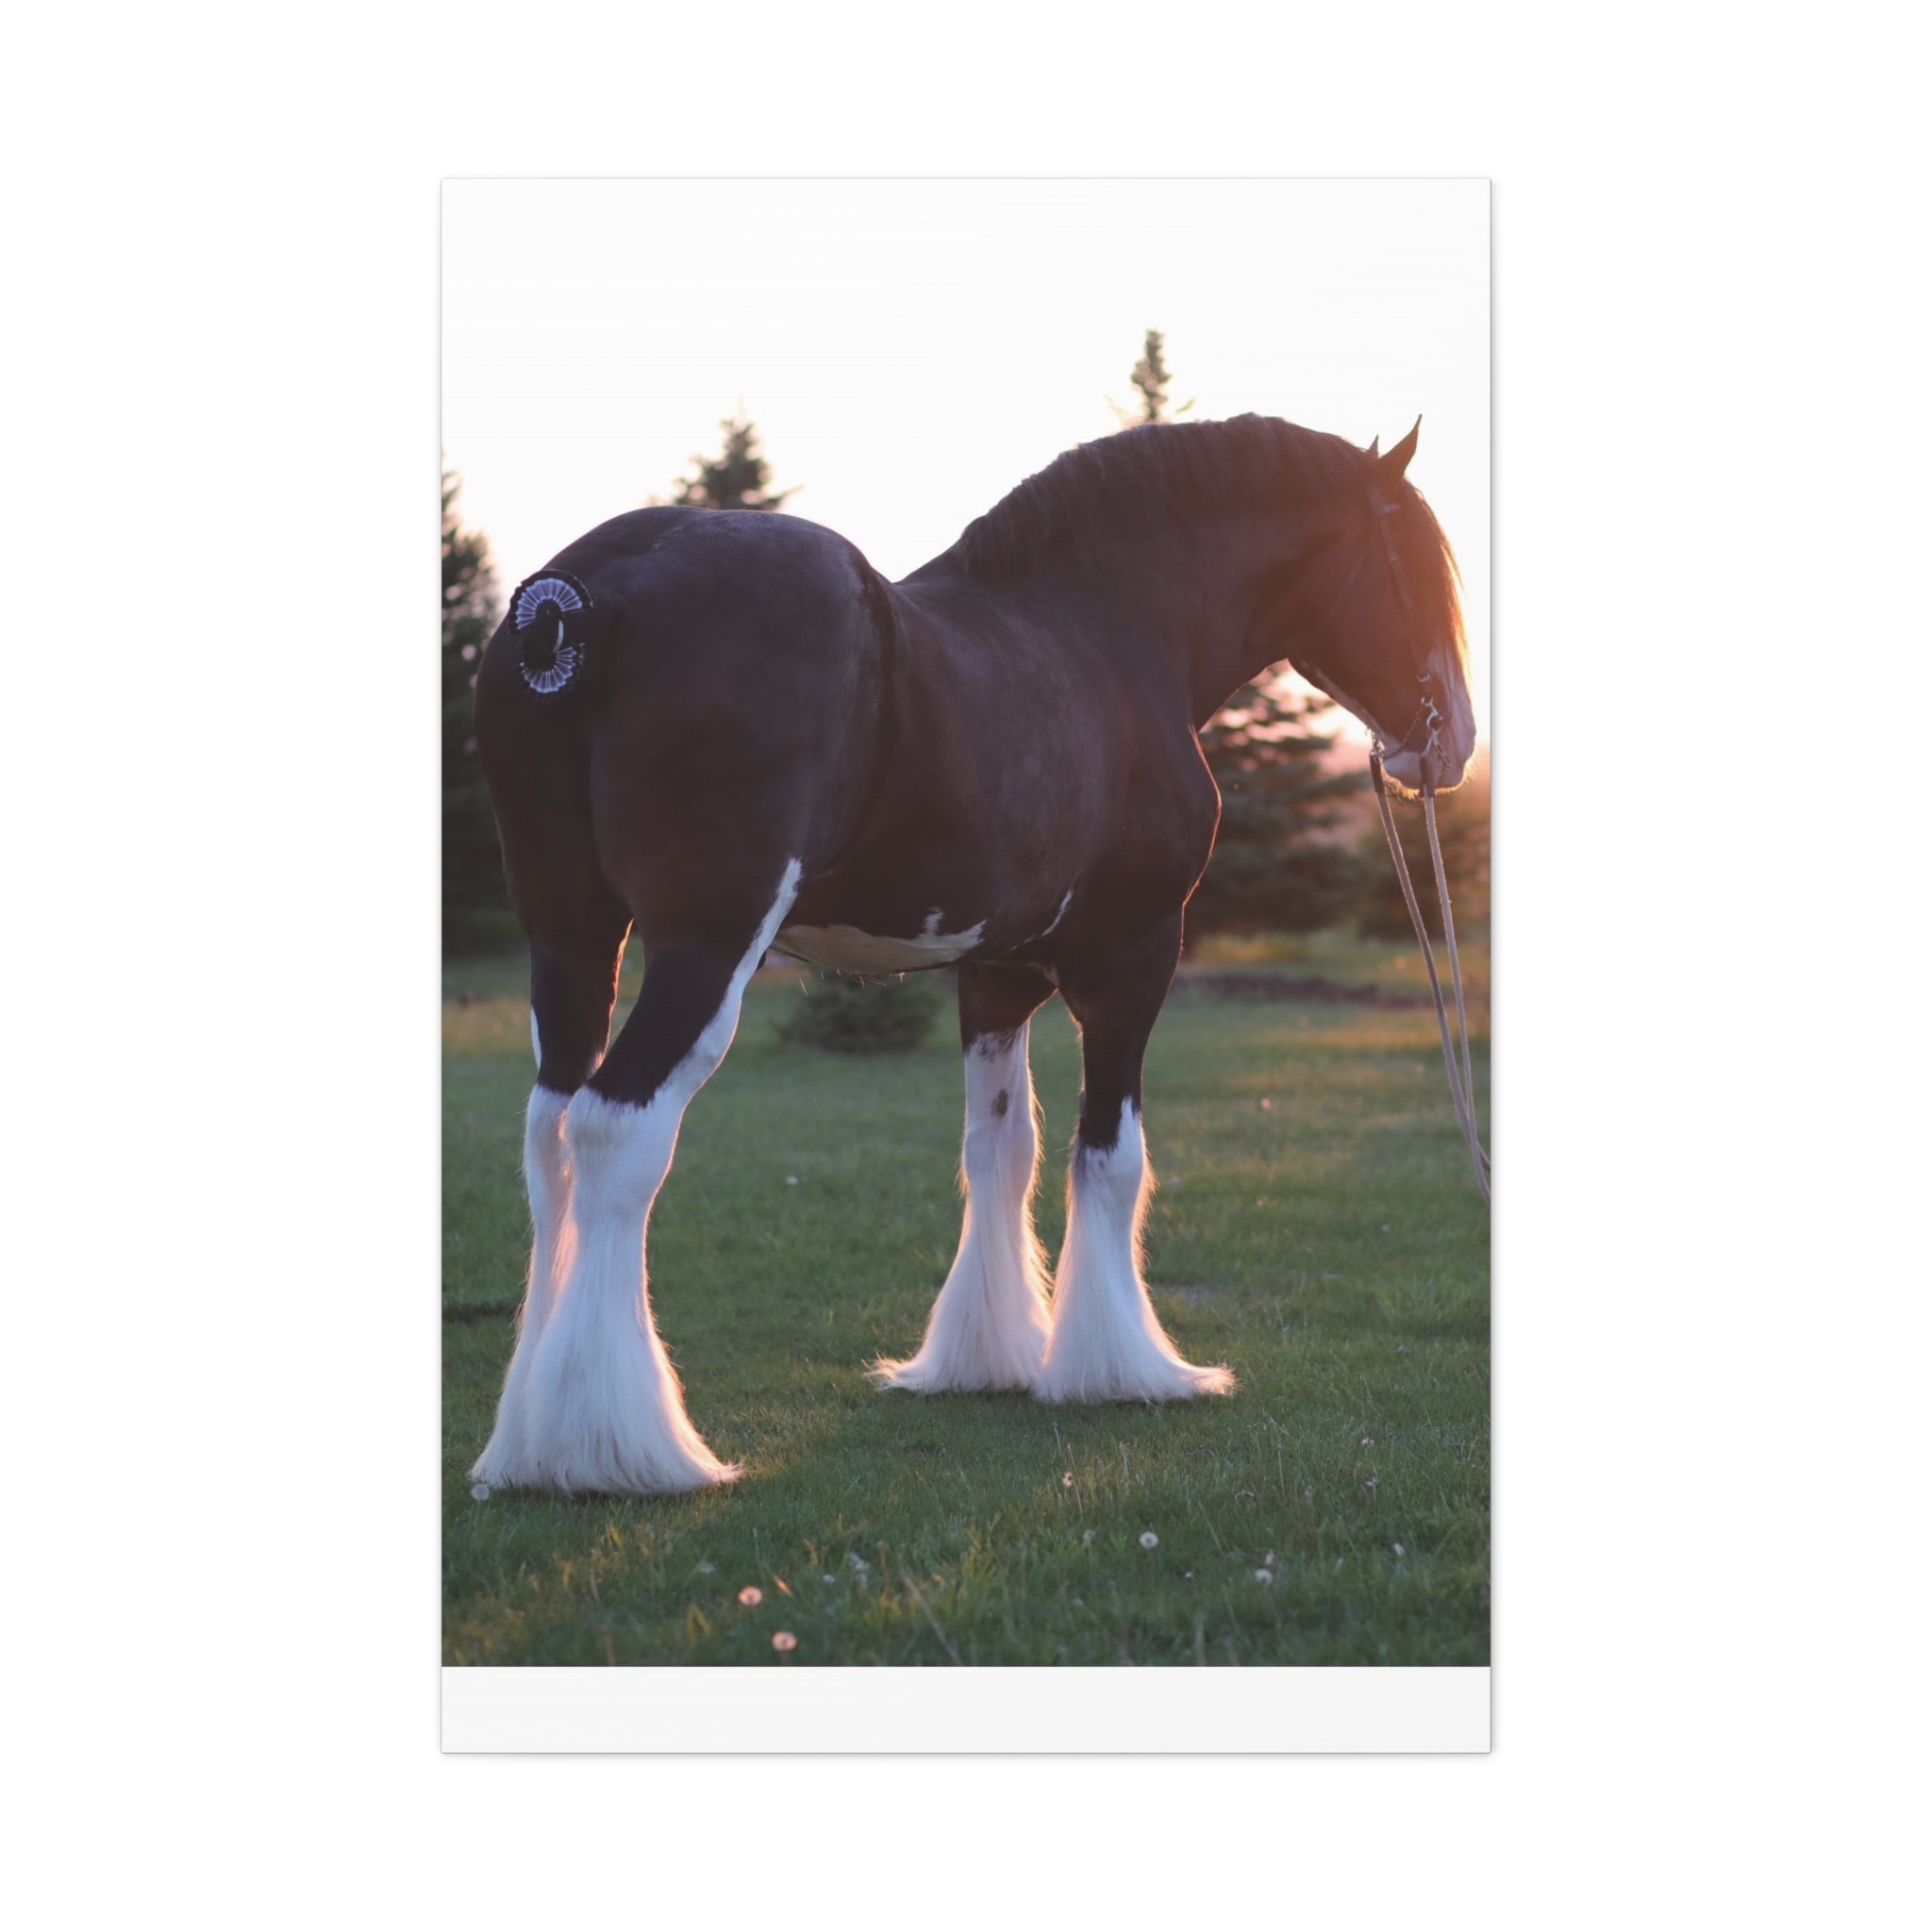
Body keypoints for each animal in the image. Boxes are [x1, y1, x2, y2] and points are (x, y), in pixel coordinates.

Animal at [467, 412, 1475, 1496]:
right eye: (1417, 564)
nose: (1454, 742)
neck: (1104, 632)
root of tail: (582, 597)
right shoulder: (1133, 955)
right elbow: (1109, 1156)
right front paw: (1120, 1369)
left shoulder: (995, 974)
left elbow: (1000, 1148)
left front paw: (986, 1357)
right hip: (705, 946)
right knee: (617, 1130)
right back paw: (616, 1448)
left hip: (571, 937)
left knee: (549, 1135)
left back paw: (526, 1443)